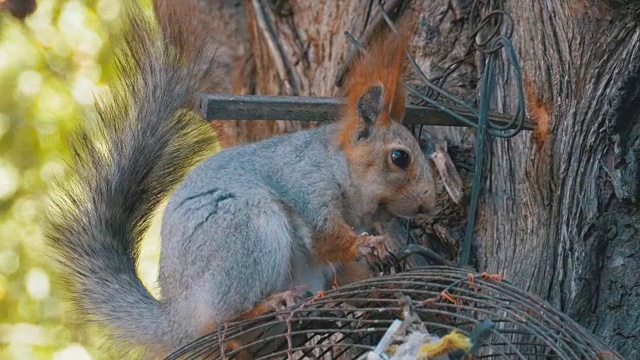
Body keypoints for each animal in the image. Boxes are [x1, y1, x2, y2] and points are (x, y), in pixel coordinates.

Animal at [47, 2, 438, 358]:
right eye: (399, 158)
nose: (429, 201)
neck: (337, 166)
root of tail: (179, 318)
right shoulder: (306, 185)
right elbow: (326, 238)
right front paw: (366, 244)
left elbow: (350, 269)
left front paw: (378, 275)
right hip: (248, 231)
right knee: (222, 321)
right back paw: (269, 304)